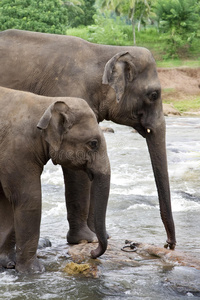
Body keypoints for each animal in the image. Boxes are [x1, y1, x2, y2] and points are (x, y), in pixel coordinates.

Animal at [0, 28, 175, 248]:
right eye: (153, 95)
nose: (168, 244)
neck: (105, 51)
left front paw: (101, 237)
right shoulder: (67, 93)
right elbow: (76, 171)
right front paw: (86, 238)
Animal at [0, 86, 110, 272]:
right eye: (93, 143)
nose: (92, 252)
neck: (46, 103)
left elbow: (8, 202)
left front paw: (8, 263)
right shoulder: (16, 151)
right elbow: (29, 199)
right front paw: (34, 271)